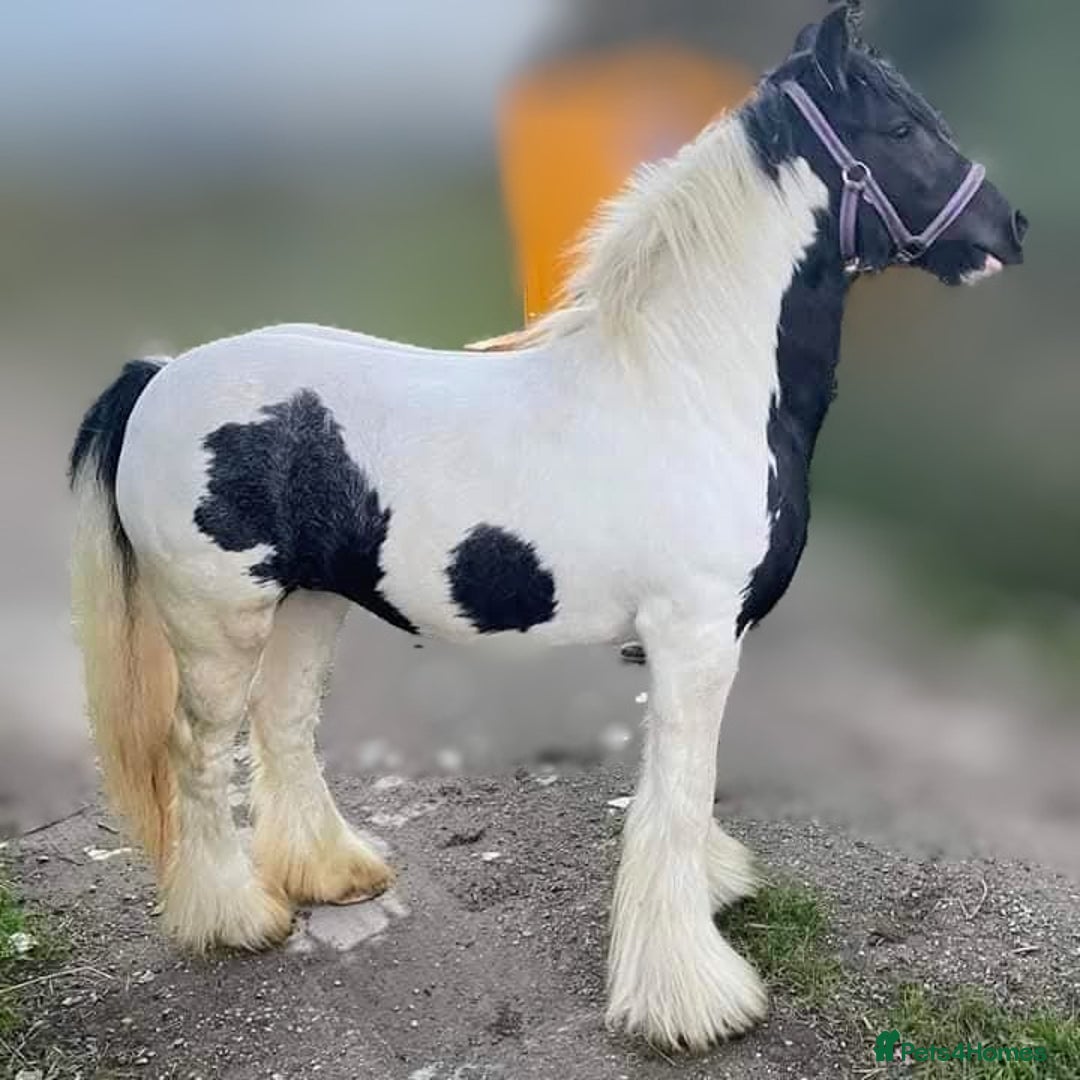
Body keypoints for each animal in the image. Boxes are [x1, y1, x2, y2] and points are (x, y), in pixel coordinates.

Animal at [68, 5, 1026, 1052]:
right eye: (898, 129)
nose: (1008, 229)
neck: (690, 385)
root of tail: (160, 374)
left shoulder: (686, 641)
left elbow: (675, 788)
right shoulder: (696, 636)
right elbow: (678, 796)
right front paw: (691, 1001)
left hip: (310, 604)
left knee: (282, 729)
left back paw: (333, 874)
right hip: (218, 625)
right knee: (198, 755)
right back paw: (234, 918)